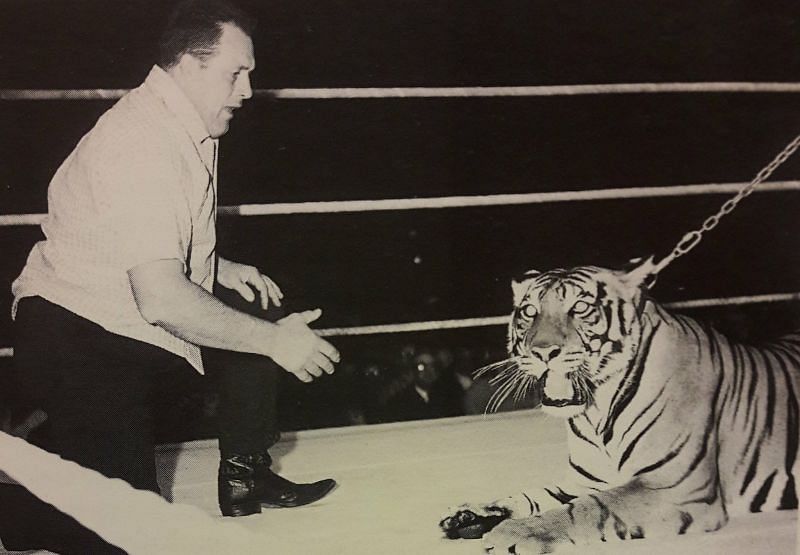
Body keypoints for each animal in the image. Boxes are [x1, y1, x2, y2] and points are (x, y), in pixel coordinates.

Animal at [440, 258, 796, 552]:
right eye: (529, 311)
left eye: (581, 307)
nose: (542, 352)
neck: (595, 411)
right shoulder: (588, 478)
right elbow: (536, 495)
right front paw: (472, 514)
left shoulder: (674, 486)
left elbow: (589, 506)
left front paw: (516, 532)